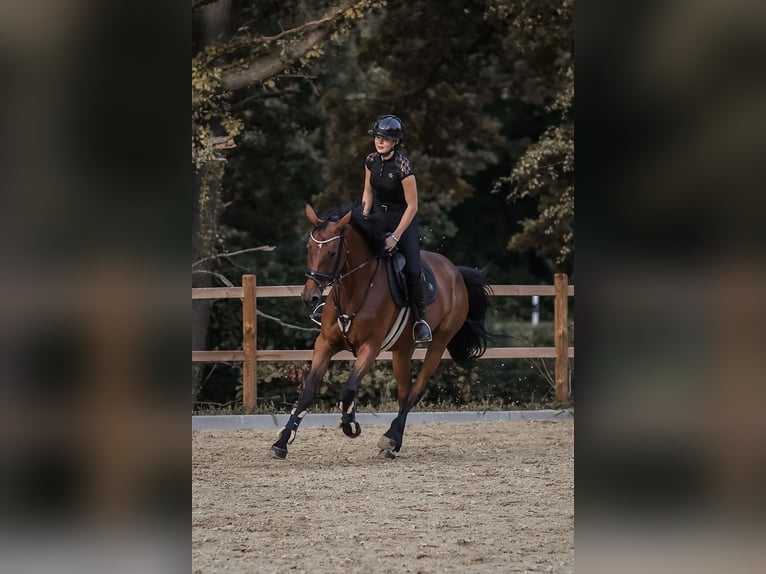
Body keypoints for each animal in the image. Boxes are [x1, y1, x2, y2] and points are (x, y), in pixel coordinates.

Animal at [269, 204, 491, 459]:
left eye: (332, 253)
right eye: (309, 248)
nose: (310, 297)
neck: (354, 289)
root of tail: (455, 271)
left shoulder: (370, 347)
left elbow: (349, 389)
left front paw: (350, 425)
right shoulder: (325, 343)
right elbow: (308, 391)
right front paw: (282, 442)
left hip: (439, 342)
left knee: (417, 389)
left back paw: (389, 437)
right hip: (403, 349)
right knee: (405, 392)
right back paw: (394, 444)